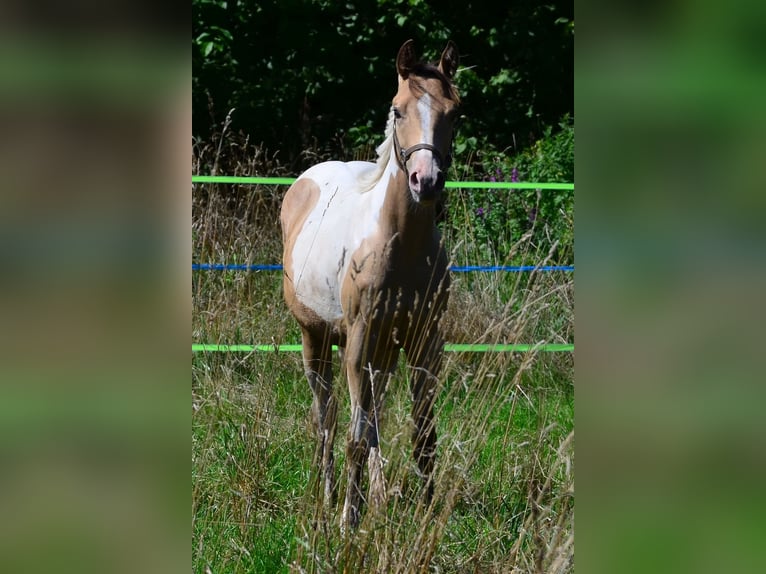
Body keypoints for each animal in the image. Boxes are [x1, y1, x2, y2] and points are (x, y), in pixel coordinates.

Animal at [280, 39, 460, 531]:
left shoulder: (424, 341)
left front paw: (426, 513)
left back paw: (377, 497)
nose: (426, 180)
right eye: (397, 110)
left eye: (454, 112)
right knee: (327, 417)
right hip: (317, 338)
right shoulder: (359, 339)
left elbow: (423, 436)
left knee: (373, 415)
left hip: (383, 351)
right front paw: (349, 521)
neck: (398, 244)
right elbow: (355, 436)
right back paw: (331, 496)